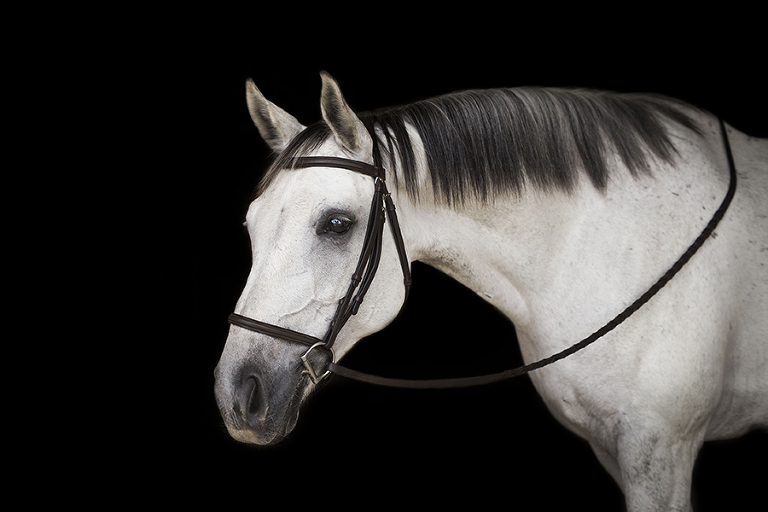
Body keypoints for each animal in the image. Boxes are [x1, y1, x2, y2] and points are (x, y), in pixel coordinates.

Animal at [214, 71, 768, 508]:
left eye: (336, 224)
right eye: (251, 226)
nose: (237, 396)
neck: (601, 247)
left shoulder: (660, 449)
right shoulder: (612, 447)